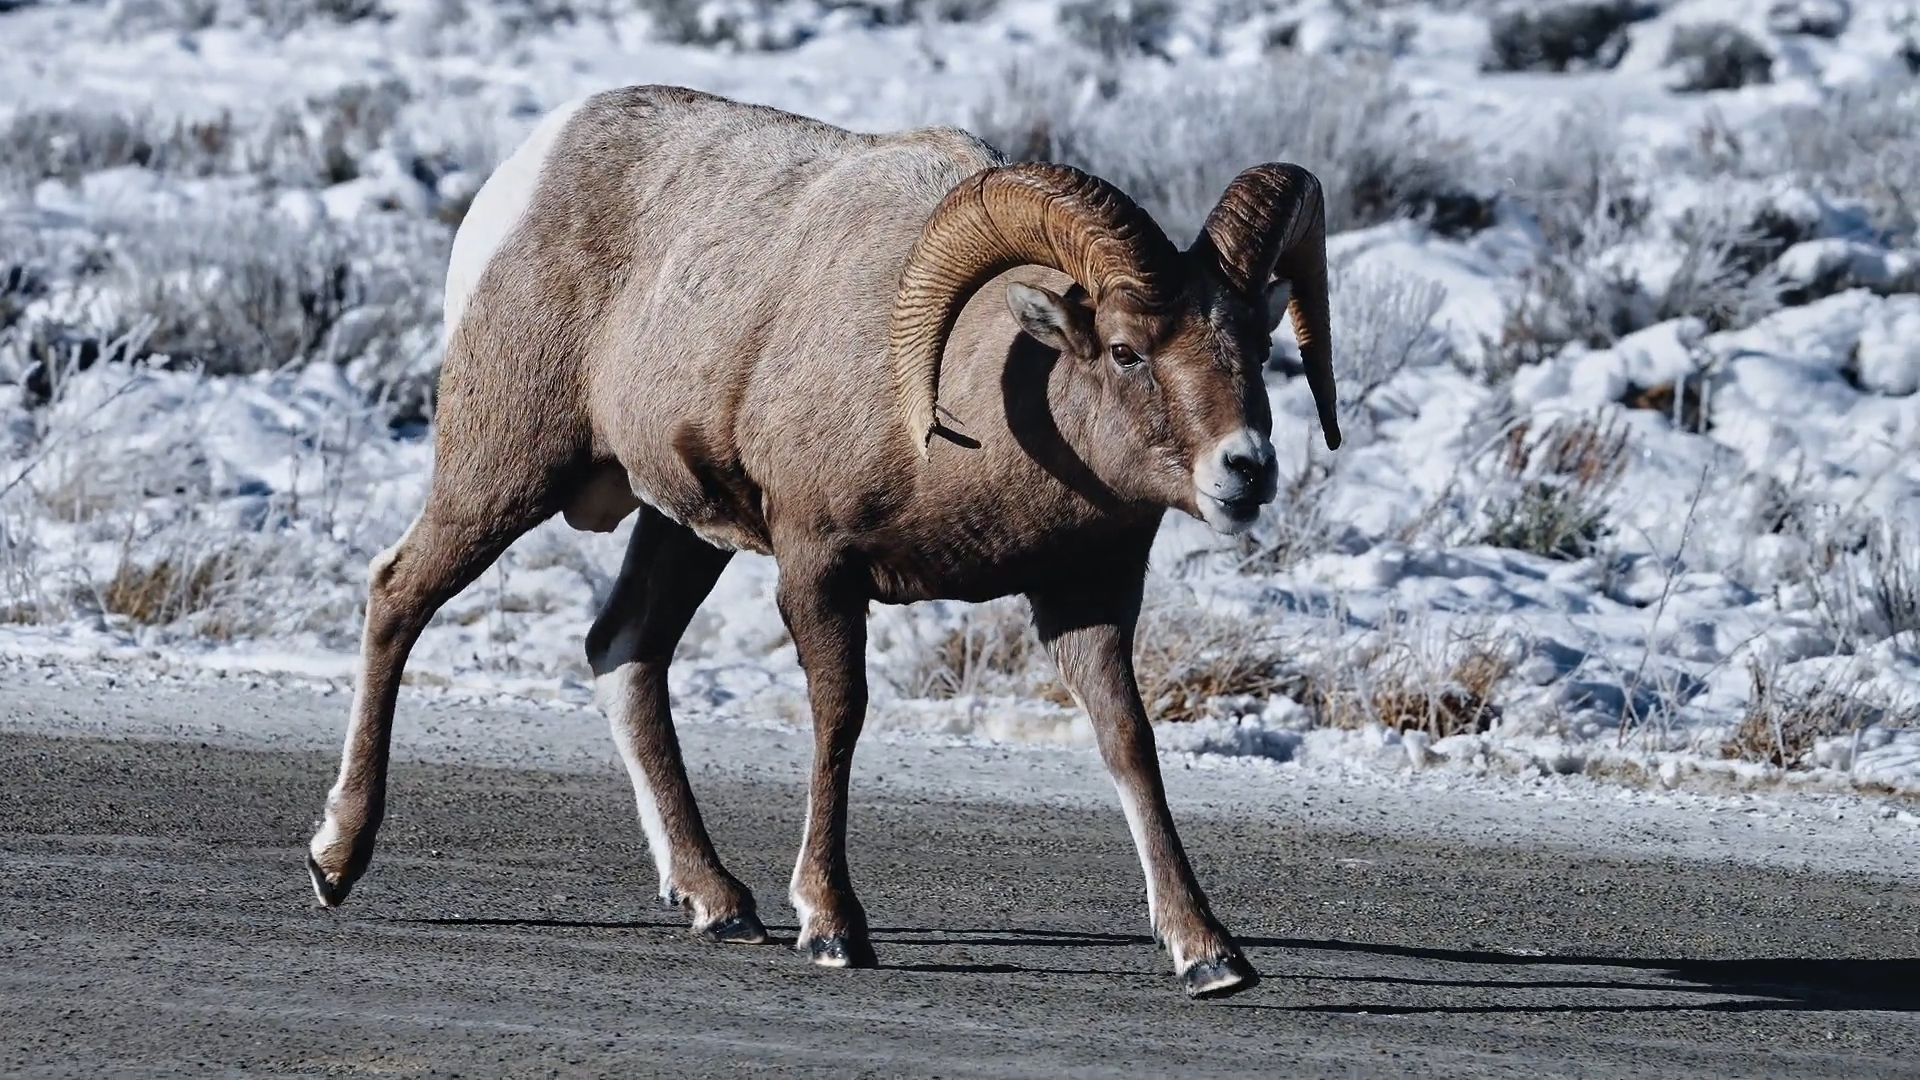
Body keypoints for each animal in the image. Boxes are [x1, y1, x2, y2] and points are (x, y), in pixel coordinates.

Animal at [305, 84, 1339, 1000]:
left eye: (1257, 343)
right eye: (1126, 350)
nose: (1246, 469)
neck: (963, 401)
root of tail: (525, 173)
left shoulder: (1086, 598)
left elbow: (1129, 744)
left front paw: (1209, 955)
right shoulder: (819, 569)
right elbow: (839, 719)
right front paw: (834, 926)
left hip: (681, 531)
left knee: (623, 652)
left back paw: (718, 903)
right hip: (504, 470)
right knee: (399, 593)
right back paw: (336, 861)